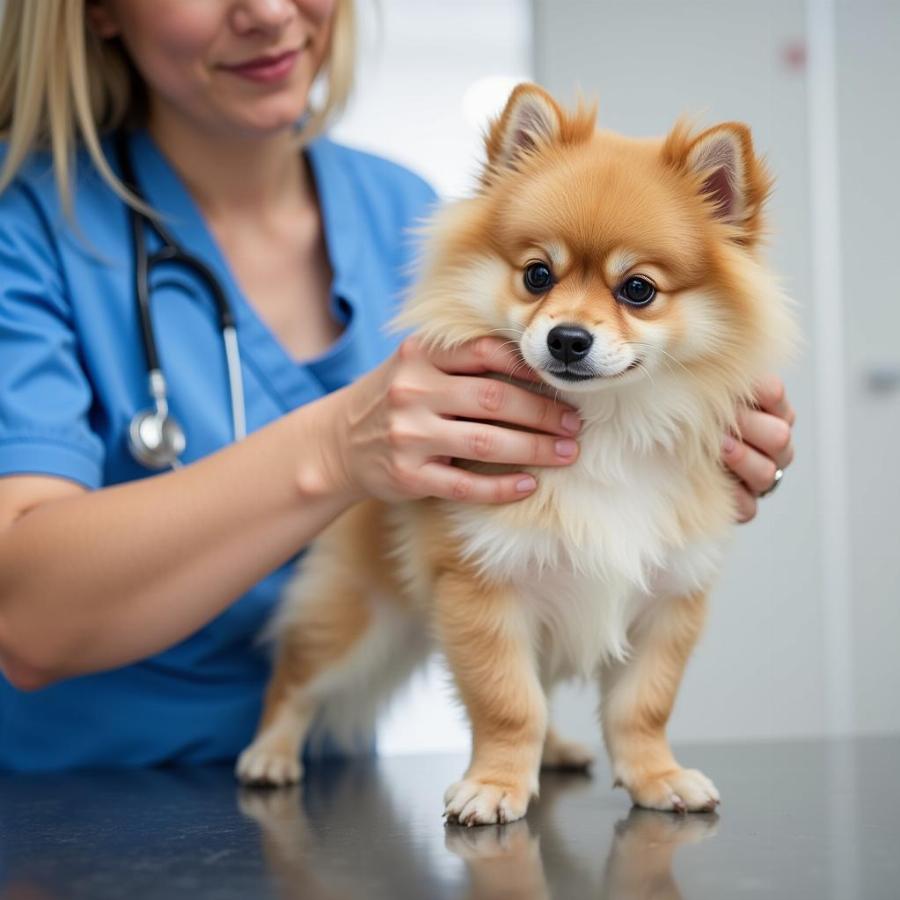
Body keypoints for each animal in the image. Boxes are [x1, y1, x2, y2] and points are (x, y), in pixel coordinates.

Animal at [237, 82, 796, 824]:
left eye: (637, 290)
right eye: (537, 275)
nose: (566, 338)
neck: (606, 432)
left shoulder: (669, 598)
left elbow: (642, 708)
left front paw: (657, 777)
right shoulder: (483, 588)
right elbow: (508, 702)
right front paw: (497, 785)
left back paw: (558, 751)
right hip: (358, 617)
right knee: (296, 678)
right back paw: (269, 754)